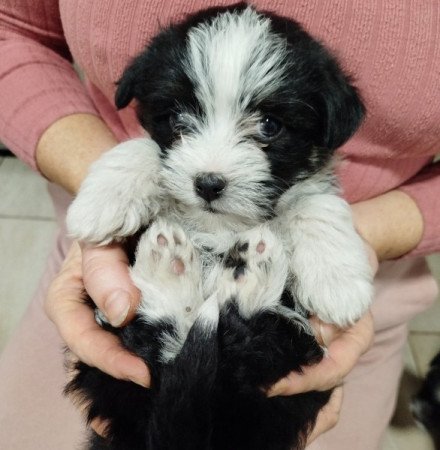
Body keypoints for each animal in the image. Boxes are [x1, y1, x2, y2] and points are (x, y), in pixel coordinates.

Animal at [66, 4, 374, 450]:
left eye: (269, 125)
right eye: (177, 118)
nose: (208, 183)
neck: (222, 222)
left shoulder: (312, 183)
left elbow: (315, 202)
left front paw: (339, 283)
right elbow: (147, 148)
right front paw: (101, 200)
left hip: (277, 380)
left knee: (247, 346)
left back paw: (245, 275)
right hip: (120, 371)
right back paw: (174, 271)